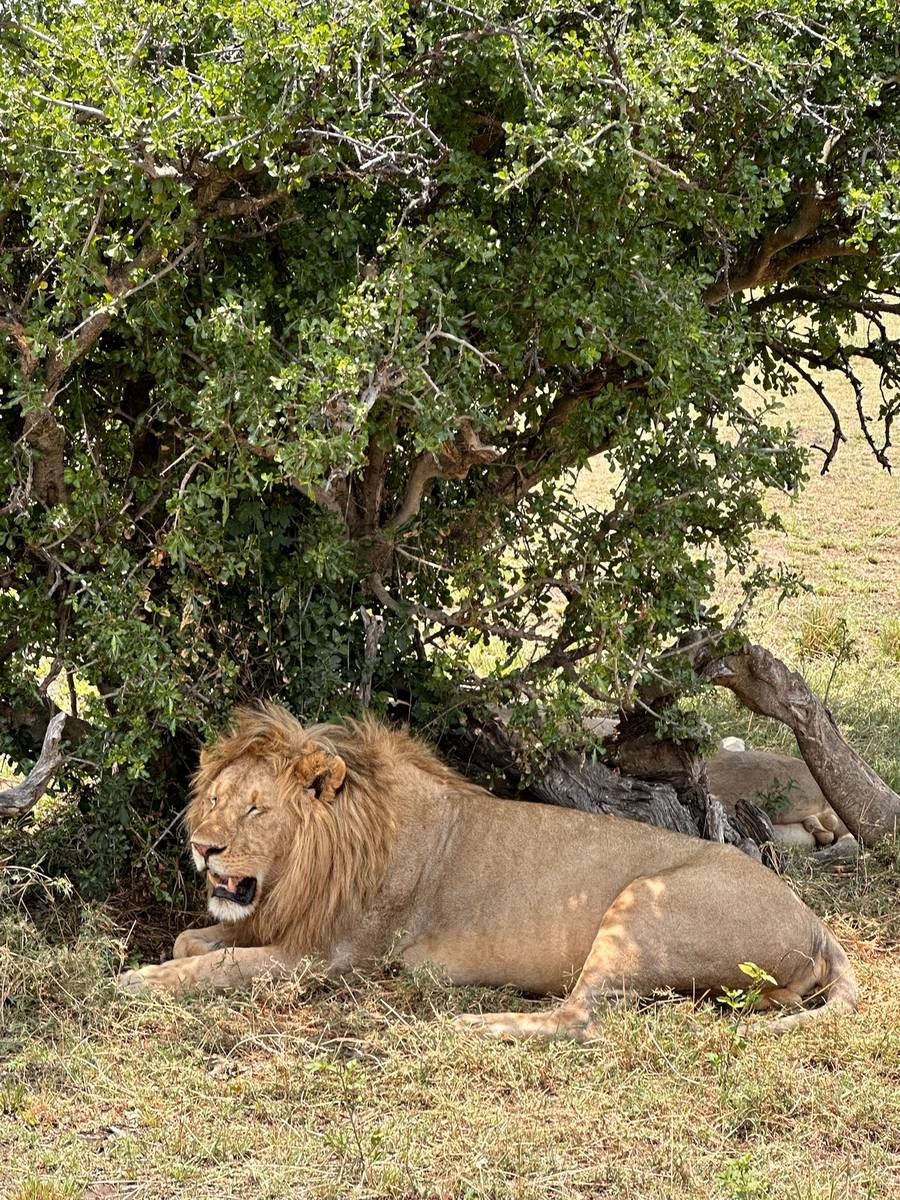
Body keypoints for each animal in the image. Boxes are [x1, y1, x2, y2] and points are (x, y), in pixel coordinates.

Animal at [120, 700, 859, 1041]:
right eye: (214, 801)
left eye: (256, 809)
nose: (203, 848)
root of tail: (816, 923)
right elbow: (194, 941)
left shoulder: (332, 956)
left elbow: (219, 965)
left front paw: (140, 982)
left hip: (644, 904)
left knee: (577, 1018)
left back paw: (471, 1024)